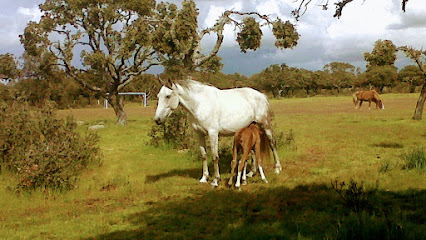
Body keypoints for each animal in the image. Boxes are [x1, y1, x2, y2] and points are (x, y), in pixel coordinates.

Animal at [154, 78, 282, 187]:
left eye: (168, 96)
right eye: (158, 96)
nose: (157, 120)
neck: (200, 104)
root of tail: (261, 95)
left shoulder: (213, 133)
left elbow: (215, 156)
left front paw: (216, 180)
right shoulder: (199, 134)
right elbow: (204, 155)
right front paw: (204, 178)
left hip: (265, 126)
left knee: (272, 144)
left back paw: (277, 168)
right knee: (253, 151)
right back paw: (251, 173)